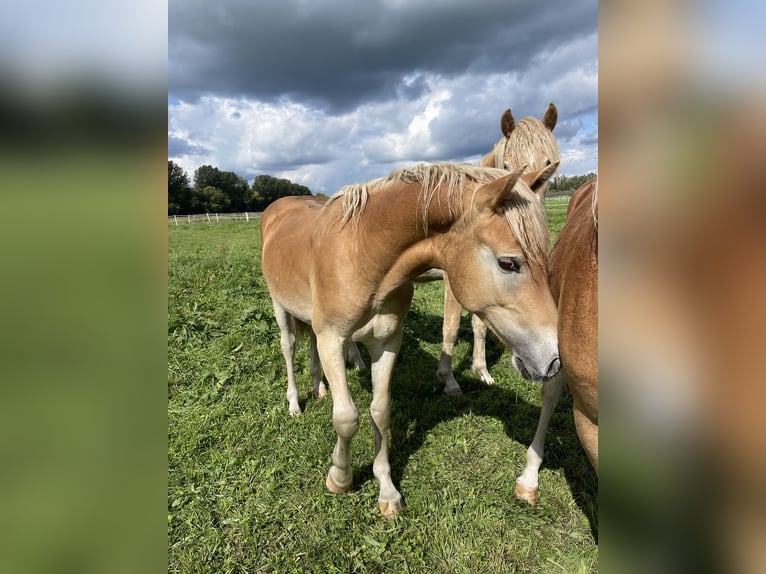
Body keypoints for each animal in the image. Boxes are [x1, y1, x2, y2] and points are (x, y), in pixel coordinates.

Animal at [262, 161, 560, 516]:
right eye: (508, 263)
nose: (554, 359)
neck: (363, 255)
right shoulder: (332, 339)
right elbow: (347, 418)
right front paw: (340, 478)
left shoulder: (387, 342)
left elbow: (380, 412)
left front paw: (386, 491)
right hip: (280, 307)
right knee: (288, 347)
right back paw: (295, 403)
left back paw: (320, 387)